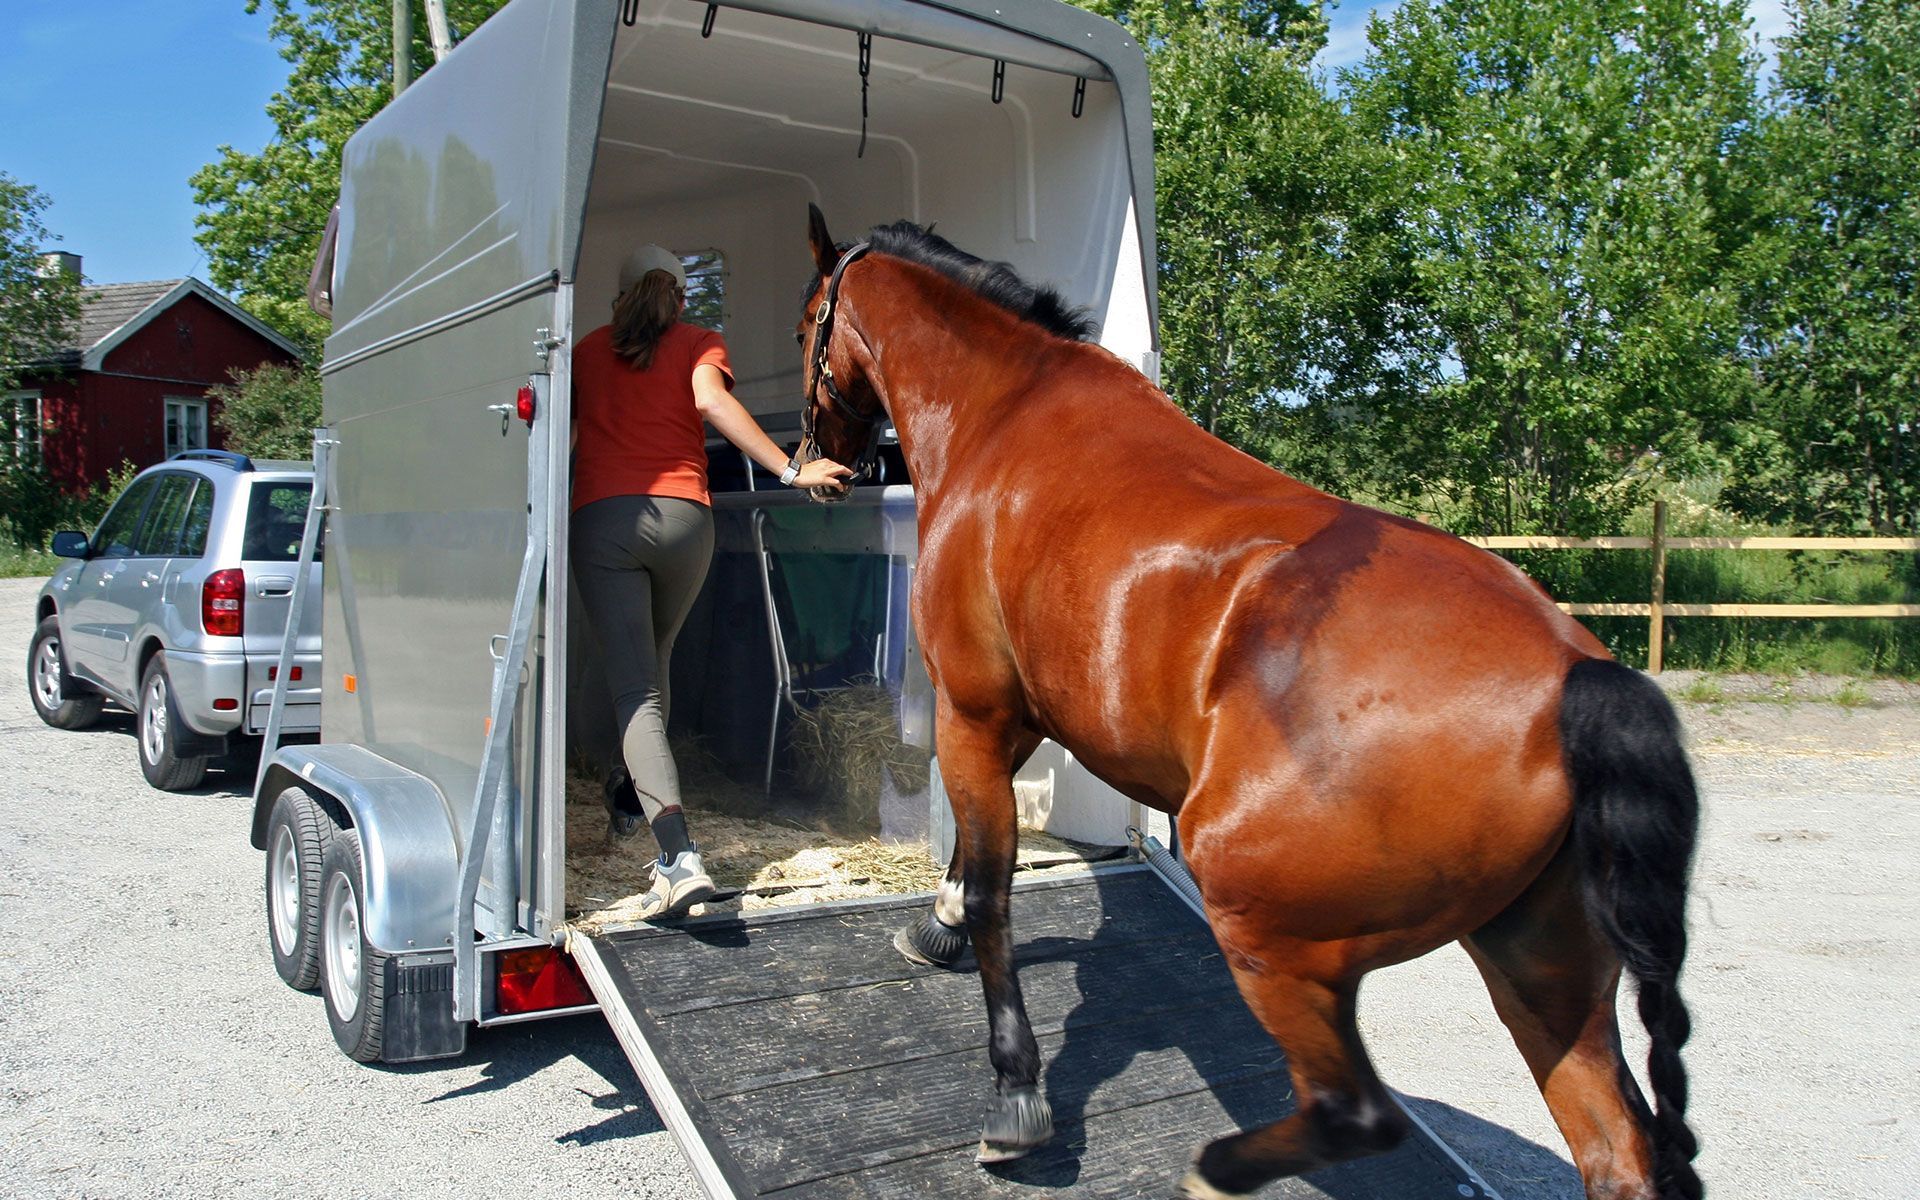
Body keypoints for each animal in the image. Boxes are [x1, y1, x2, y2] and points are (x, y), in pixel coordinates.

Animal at [791, 205, 1702, 1200]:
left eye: (804, 329)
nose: (816, 460)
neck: (1007, 415)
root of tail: (1582, 678)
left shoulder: (974, 709)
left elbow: (995, 889)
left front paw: (1016, 1092)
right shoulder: (1020, 716)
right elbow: (972, 865)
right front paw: (938, 927)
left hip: (1271, 931)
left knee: (1357, 1114)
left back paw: (1217, 1168)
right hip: (1543, 972)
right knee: (1617, 1152)